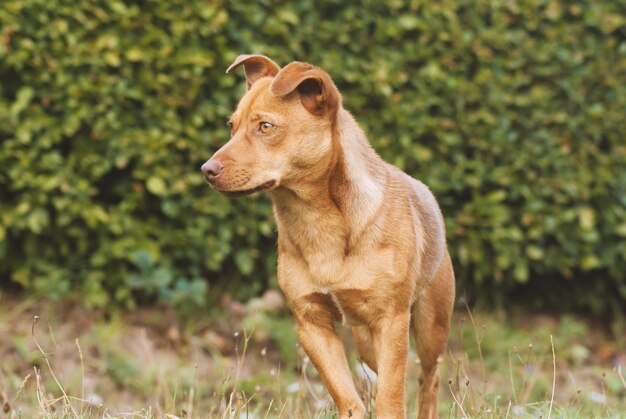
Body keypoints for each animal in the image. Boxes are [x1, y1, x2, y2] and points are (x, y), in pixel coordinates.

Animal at [202, 55, 450, 419]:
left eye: (266, 127)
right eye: (231, 127)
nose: (206, 170)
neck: (317, 219)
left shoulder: (392, 320)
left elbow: (391, 398)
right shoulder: (312, 324)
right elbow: (347, 397)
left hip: (431, 326)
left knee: (429, 379)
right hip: (365, 339)